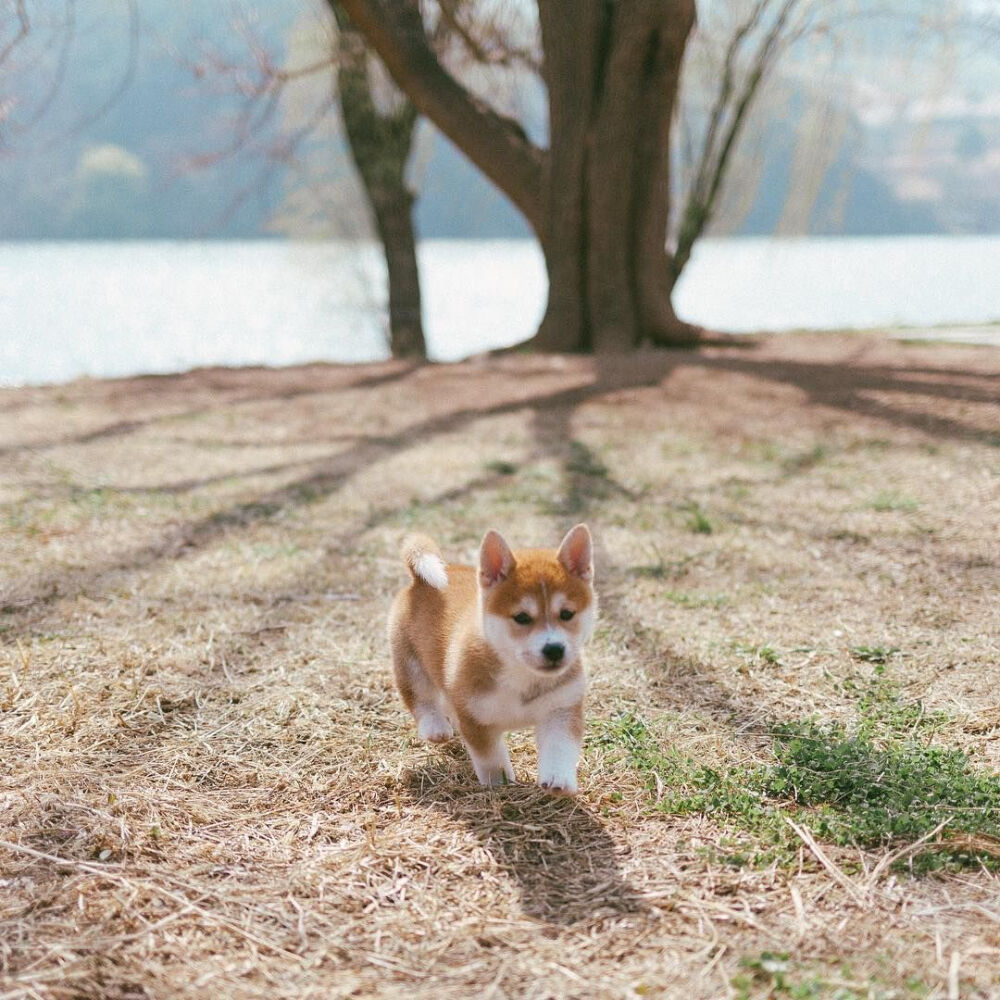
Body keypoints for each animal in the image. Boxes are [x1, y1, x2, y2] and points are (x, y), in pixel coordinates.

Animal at [388, 528, 592, 792]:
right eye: (522, 617)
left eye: (567, 614)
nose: (554, 649)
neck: (521, 677)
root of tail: (419, 581)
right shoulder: (476, 718)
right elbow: (491, 758)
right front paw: (499, 783)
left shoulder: (560, 710)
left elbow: (559, 748)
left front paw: (559, 780)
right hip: (410, 663)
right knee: (420, 697)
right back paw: (435, 727)